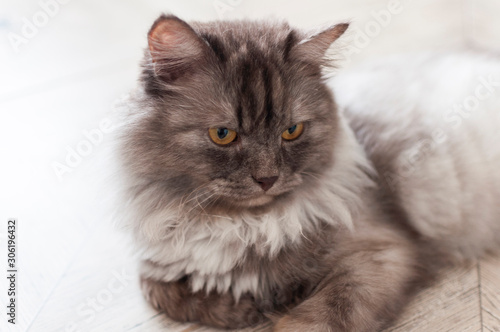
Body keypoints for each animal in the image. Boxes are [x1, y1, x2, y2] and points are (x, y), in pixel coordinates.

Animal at [113, 13, 500, 332]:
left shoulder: (379, 252)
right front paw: (242, 309)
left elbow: (314, 320)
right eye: (223, 135)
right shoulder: (160, 260)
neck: (244, 226)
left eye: (292, 131)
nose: (267, 179)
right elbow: (159, 289)